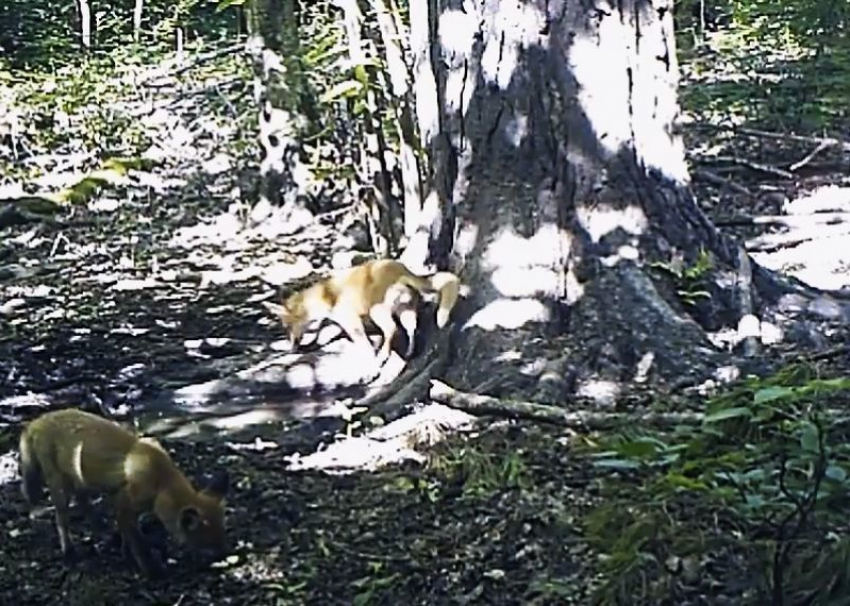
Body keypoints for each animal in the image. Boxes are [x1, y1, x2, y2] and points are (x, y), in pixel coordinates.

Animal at [19, 408, 230, 580]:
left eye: (223, 537)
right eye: (209, 545)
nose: (225, 555)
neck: (160, 480)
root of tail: (37, 420)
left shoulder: (123, 504)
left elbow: (128, 535)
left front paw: (124, 552)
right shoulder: (124, 503)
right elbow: (138, 544)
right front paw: (151, 571)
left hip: (80, 479)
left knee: (83, 503)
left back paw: (100, 529)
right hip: (60, 485)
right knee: (62, 518)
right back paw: (69, 551)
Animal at [264, 258, 460, 364]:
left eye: (286, 327)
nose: (291, 348)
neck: (325, 296)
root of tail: (401, 269)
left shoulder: (350, 320)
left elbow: (361, 341)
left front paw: (368, 354)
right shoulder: (342, 320)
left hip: (378, 310)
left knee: (392, 329)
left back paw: (383, 355)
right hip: (404, 309)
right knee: (410, 329)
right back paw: (409, 352)